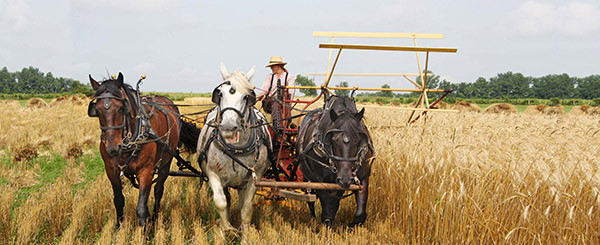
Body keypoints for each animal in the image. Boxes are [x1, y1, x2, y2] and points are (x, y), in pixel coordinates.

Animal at [88, 72, 199, 228]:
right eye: (97, 110)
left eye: (121, 108)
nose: (113, 147)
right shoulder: (111, 171)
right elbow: (118, 201)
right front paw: (118, 228)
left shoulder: (146, 171)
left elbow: (141, 207)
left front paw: (144, 230)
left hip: (166, 162)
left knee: (158, 190)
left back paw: (155, 219)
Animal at [197, 63, 272, 232]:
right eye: (220, 94)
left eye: (246, 97)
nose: (228, 128)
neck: (237, 149)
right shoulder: (213, 174)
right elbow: (221, 203)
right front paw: (227, 228)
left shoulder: (254, 178)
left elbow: (246, 210)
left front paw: (244, 234)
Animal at [296, 94, 376, 227]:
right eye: (333, 140)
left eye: (358, 140)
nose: (345, 178)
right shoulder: (320, 180)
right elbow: (327, 215)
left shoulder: (363, 178)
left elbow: (359, 215)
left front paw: (351, 227)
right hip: (307, 177)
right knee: (310, 200)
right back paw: (312, 219)